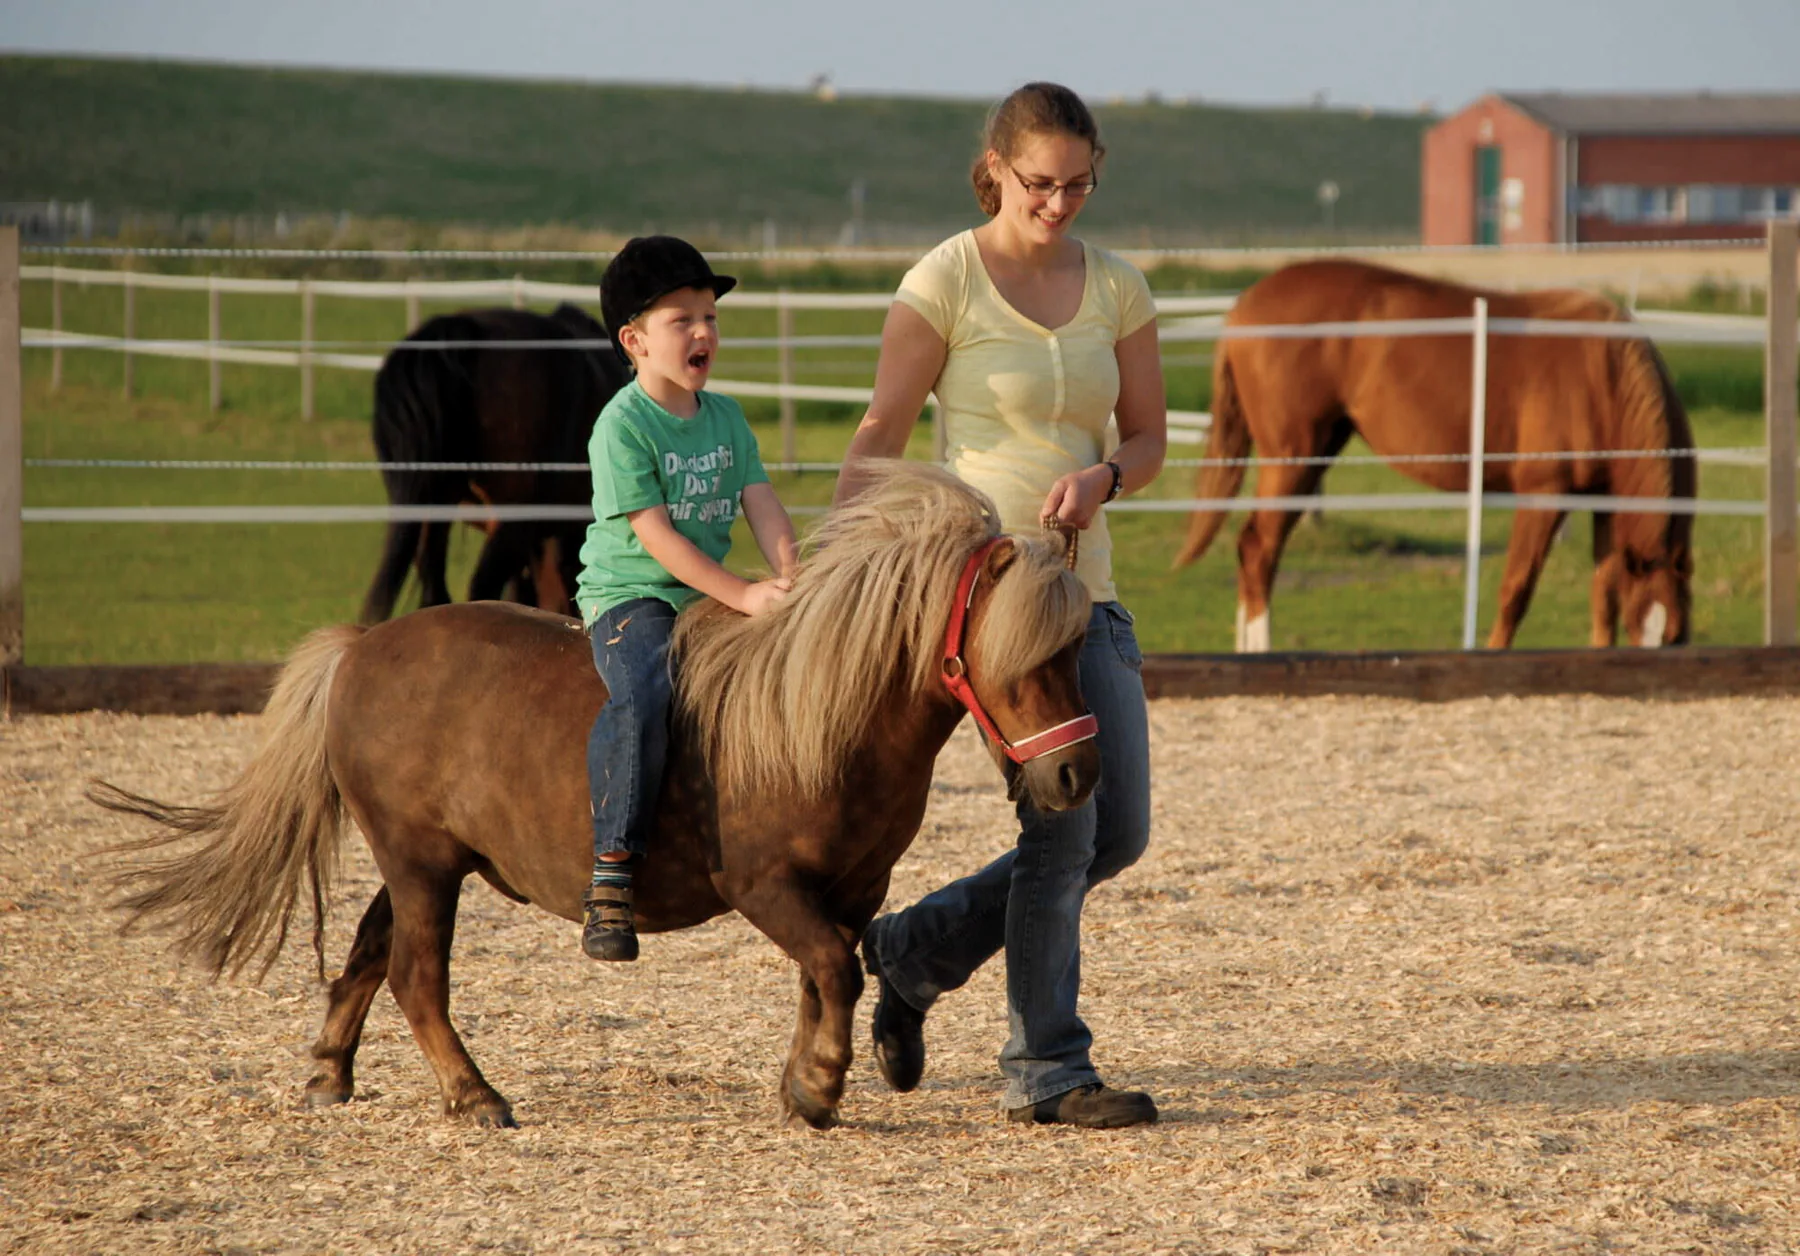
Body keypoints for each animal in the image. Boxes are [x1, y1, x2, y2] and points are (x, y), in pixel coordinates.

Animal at [95, 463, 1102, 1131]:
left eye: (1075, 649)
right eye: (1023, 657)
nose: (1076, 776)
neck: (817, 715)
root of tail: (359, 649)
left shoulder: (855, 889)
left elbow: (828, 975)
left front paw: (802, 1081)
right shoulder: (767, 888)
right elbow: (834, 969)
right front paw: (818, 1085)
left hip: (425, 862)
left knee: (371, 953)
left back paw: (330, 1073)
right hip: (420, 862)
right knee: (417, 975)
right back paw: (474, 1094)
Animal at [1172, 259, 1696, 651]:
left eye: (1674, 636)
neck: (1602, 373)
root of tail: (1243, 306)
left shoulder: (1605, 502)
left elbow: (1604, 594)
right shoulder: (1544, 496)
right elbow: (1516, 590)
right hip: (1293, 458)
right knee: (1259, 549)